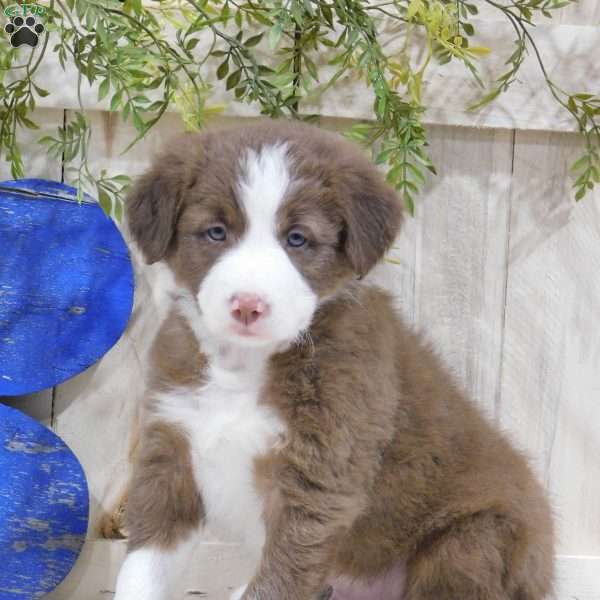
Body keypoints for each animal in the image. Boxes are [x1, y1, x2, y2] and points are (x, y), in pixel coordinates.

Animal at [115, 120, 556, 600]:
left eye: (298, 239)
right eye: (215, 232)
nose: (248, 306)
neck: (244, 365)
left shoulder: (318, 482)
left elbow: (276, 582)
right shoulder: (171, 451)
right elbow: (142, 570)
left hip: (472, 540)